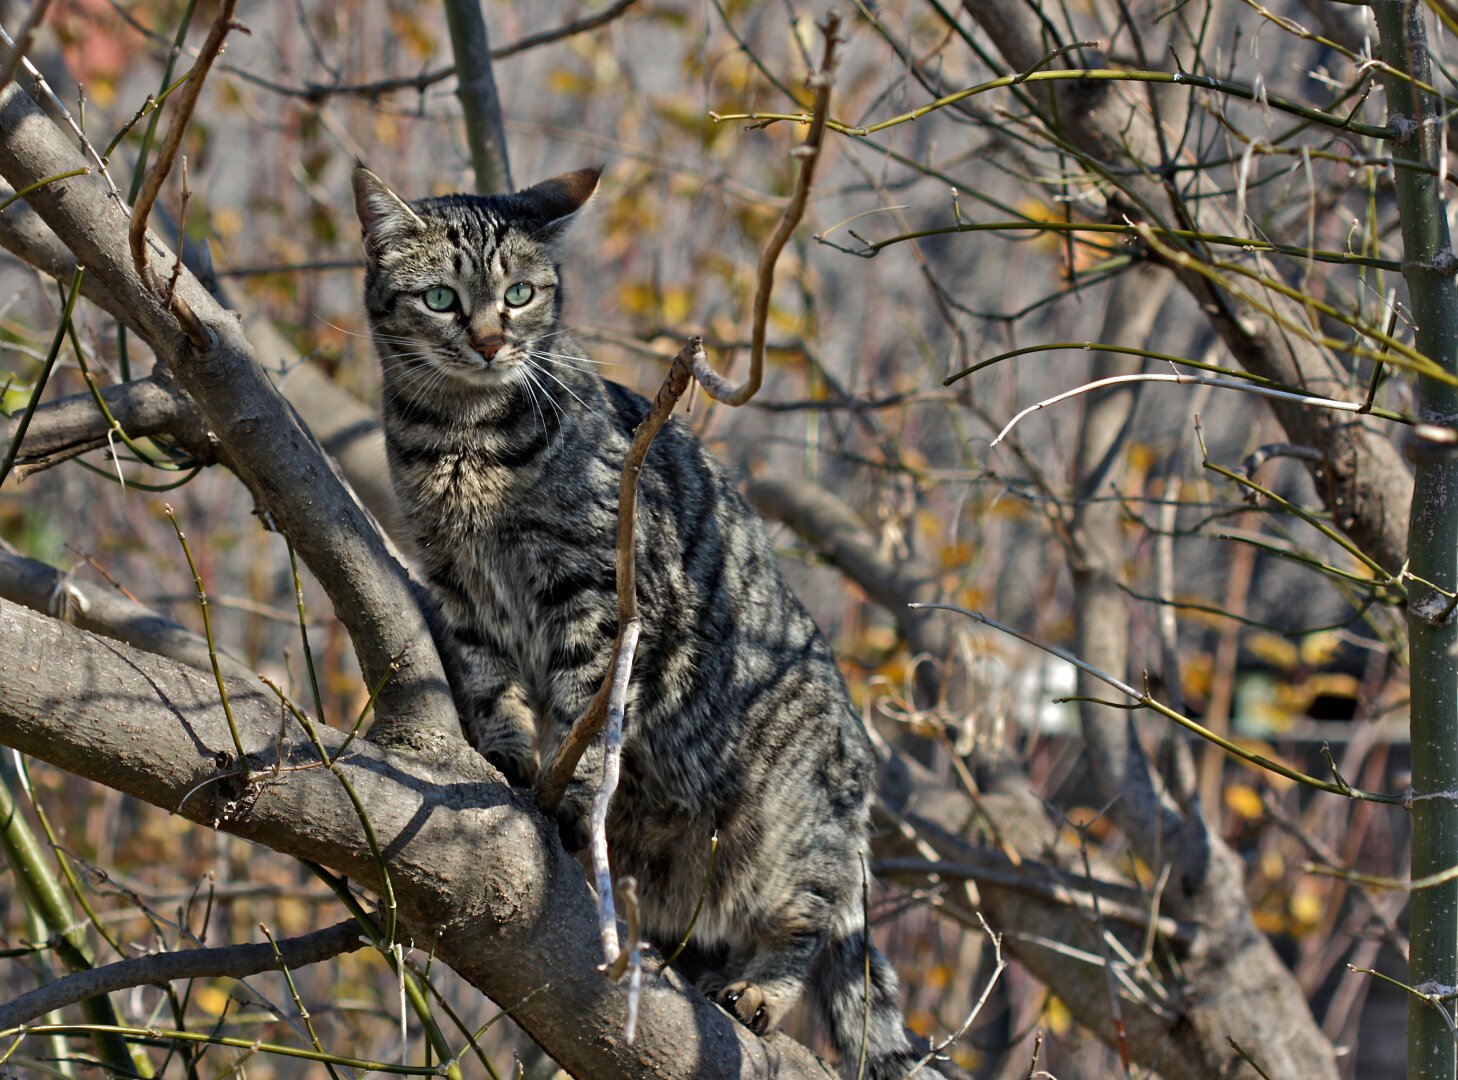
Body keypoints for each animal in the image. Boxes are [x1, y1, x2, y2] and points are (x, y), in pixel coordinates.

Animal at [357, 162, 950, 1078]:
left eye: (520, 294)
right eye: (442, 300)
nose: (491, 343)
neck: (462, 439)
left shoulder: (595, 586)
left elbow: (586, 703)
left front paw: (569, 792)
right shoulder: (457, 587)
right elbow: (492, 684)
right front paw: (506, 755)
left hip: (794, 829)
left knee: (812, 921)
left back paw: (760, 990)